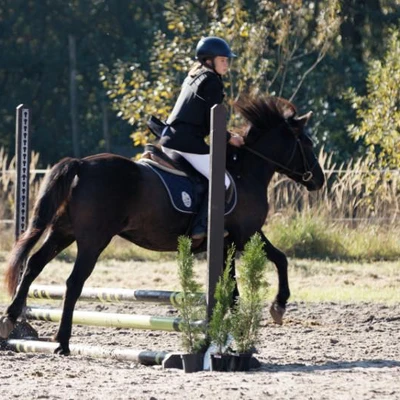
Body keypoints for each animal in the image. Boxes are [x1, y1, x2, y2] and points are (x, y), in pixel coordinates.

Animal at [0, 95, 324, 354]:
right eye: (307, 143)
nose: (318, 180)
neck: (246, 172)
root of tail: (81, 164)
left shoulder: (232, 241)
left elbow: (239, 284)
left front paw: (238, 330)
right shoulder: (244, 236)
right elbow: (271, 265)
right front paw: (274, 309)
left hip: (62, 232)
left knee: (33, 264)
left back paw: (11, 319)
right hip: (93, 240)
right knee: (73, 282)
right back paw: (62, 342)